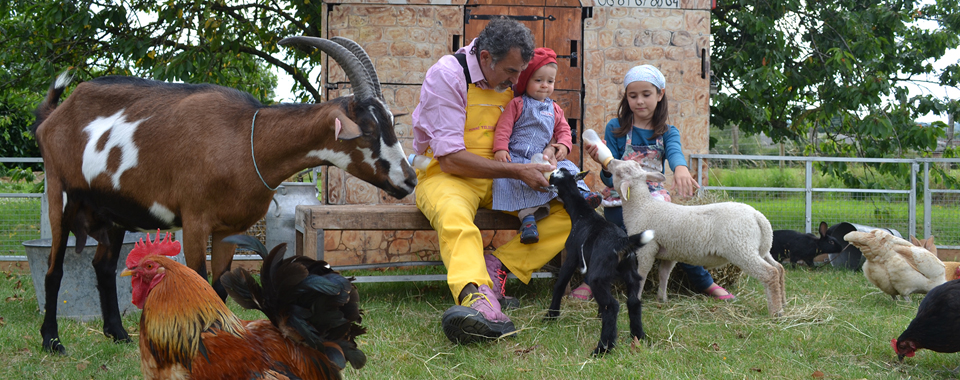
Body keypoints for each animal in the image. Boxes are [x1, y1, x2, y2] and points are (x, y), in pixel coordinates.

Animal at [31, 35, 414, 354]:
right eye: (368, 129)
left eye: (391, 122)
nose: (409, 180)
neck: (246, 140)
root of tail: (54, 116)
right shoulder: (195, 221)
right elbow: (198, 282)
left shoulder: (230, 229)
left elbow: (217, 289)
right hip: (59, 194)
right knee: (54, 270)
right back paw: (52, 341)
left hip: (113, 213)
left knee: (104, 266)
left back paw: (118, 334)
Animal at [608, 159, 788, 316]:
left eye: (620, 172)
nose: (611, 162)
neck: (642, 207)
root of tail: (757, 216)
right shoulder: (669, 252)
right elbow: (664, 274)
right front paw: (662, 299)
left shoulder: (647, 249)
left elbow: (642, 274)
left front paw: (636, 298)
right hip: (759, 248)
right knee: (779, 268)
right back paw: (783, 301)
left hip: (741, 248)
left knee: (769, 273)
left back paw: (776, 311)